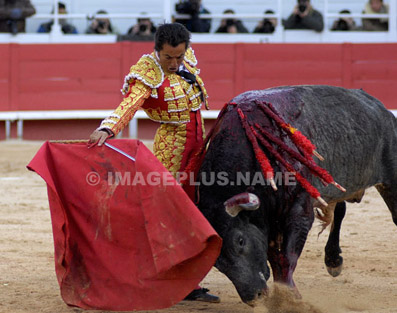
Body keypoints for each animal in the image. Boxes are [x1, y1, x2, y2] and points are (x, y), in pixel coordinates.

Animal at [193, 84, 396, 304]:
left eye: (240, 241)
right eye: (216, 262)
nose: (253, 296)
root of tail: (380, 107)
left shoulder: (299, 211)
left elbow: (288, 255)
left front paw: (289, 295)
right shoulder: (268, 217)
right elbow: (274, 257)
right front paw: (282, 293)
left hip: (390, 179)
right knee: (340, 211)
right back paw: (333, 260)